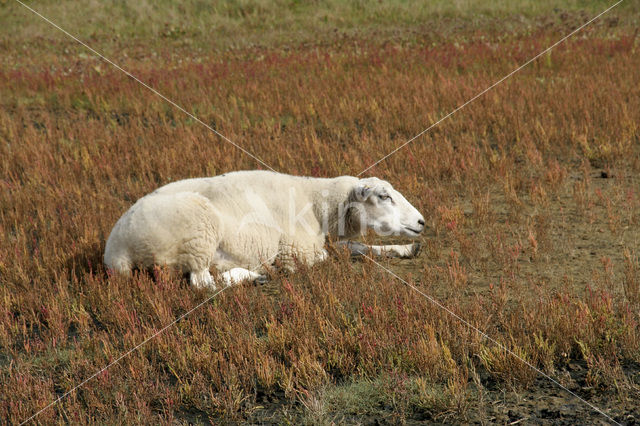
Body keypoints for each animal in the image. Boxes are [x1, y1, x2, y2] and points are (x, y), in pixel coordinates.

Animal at [104, 171, 424, 288]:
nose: (422, 222)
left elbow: (353, 247)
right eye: (383, 196)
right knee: (202, 282)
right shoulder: (297, 248)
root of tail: (117, 249)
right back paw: (252, 275)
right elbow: (325, 256)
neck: (315, 203)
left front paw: (406, 248)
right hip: (199, 234)